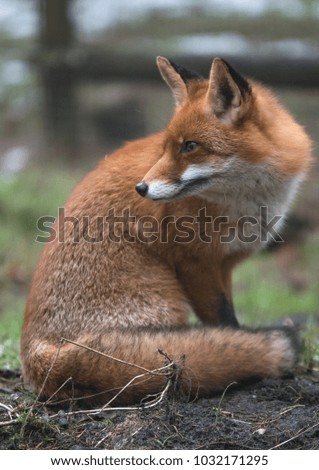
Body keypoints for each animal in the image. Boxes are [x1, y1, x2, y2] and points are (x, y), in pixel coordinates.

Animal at [21, 57, 314, 404]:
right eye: (166, 148)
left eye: (190, 146)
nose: (141, 188)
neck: (248, 202)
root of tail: (37, 355)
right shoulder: (194, 263)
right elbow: (224, 321)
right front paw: (245, 348)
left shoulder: (223, 265)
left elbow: (227, 319)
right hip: (164, 300)